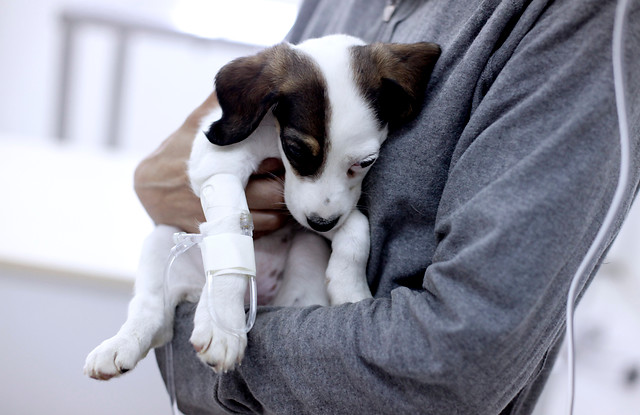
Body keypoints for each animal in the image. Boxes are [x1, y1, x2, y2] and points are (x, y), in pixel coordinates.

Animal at [84, 35, 440, 380]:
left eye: (365, 162)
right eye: (296, 150)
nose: (322, 224)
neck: (273, 138)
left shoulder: (318, 211)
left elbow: (356, 229)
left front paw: (350, 288)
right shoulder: (217, 163)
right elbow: (233, 228)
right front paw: (224, 324)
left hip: (304, 263)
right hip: (162, 239)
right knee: (151, 311)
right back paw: (123, 344)